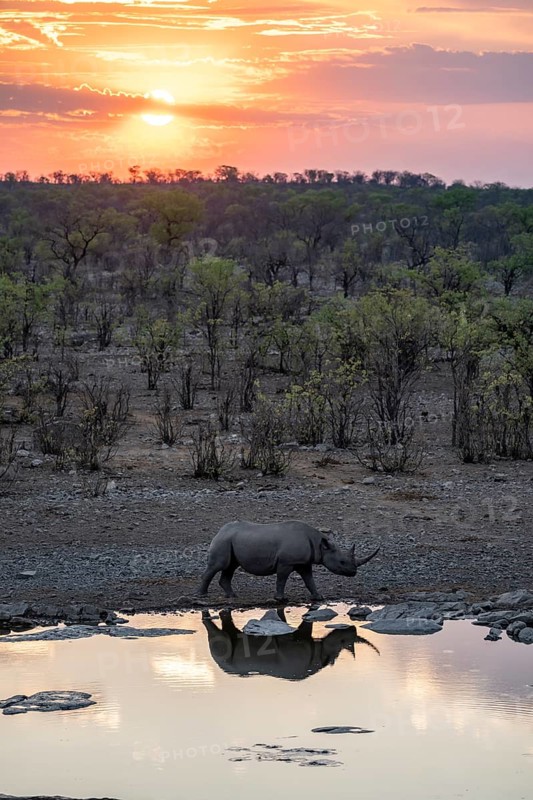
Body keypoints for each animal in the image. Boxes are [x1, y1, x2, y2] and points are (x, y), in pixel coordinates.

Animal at [198, 520, 380, 601]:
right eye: (342, 562)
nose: (354, 572)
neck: (320, 545)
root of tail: (220, 530)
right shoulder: (286, 562)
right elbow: (281, 579)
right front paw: (281, 599)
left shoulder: (304, 563)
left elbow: (309, 580)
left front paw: (318, 597)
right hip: (223, 541)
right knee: (219, 565)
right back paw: (202, 595)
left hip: (230, 541)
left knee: (231, 566)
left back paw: (232, 596)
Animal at [202, 609, 379, 681]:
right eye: (342, 641)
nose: (352, 628)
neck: (320, 655)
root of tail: (219, 665)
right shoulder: (294, 641)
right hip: (224, 658)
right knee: (222, 640)